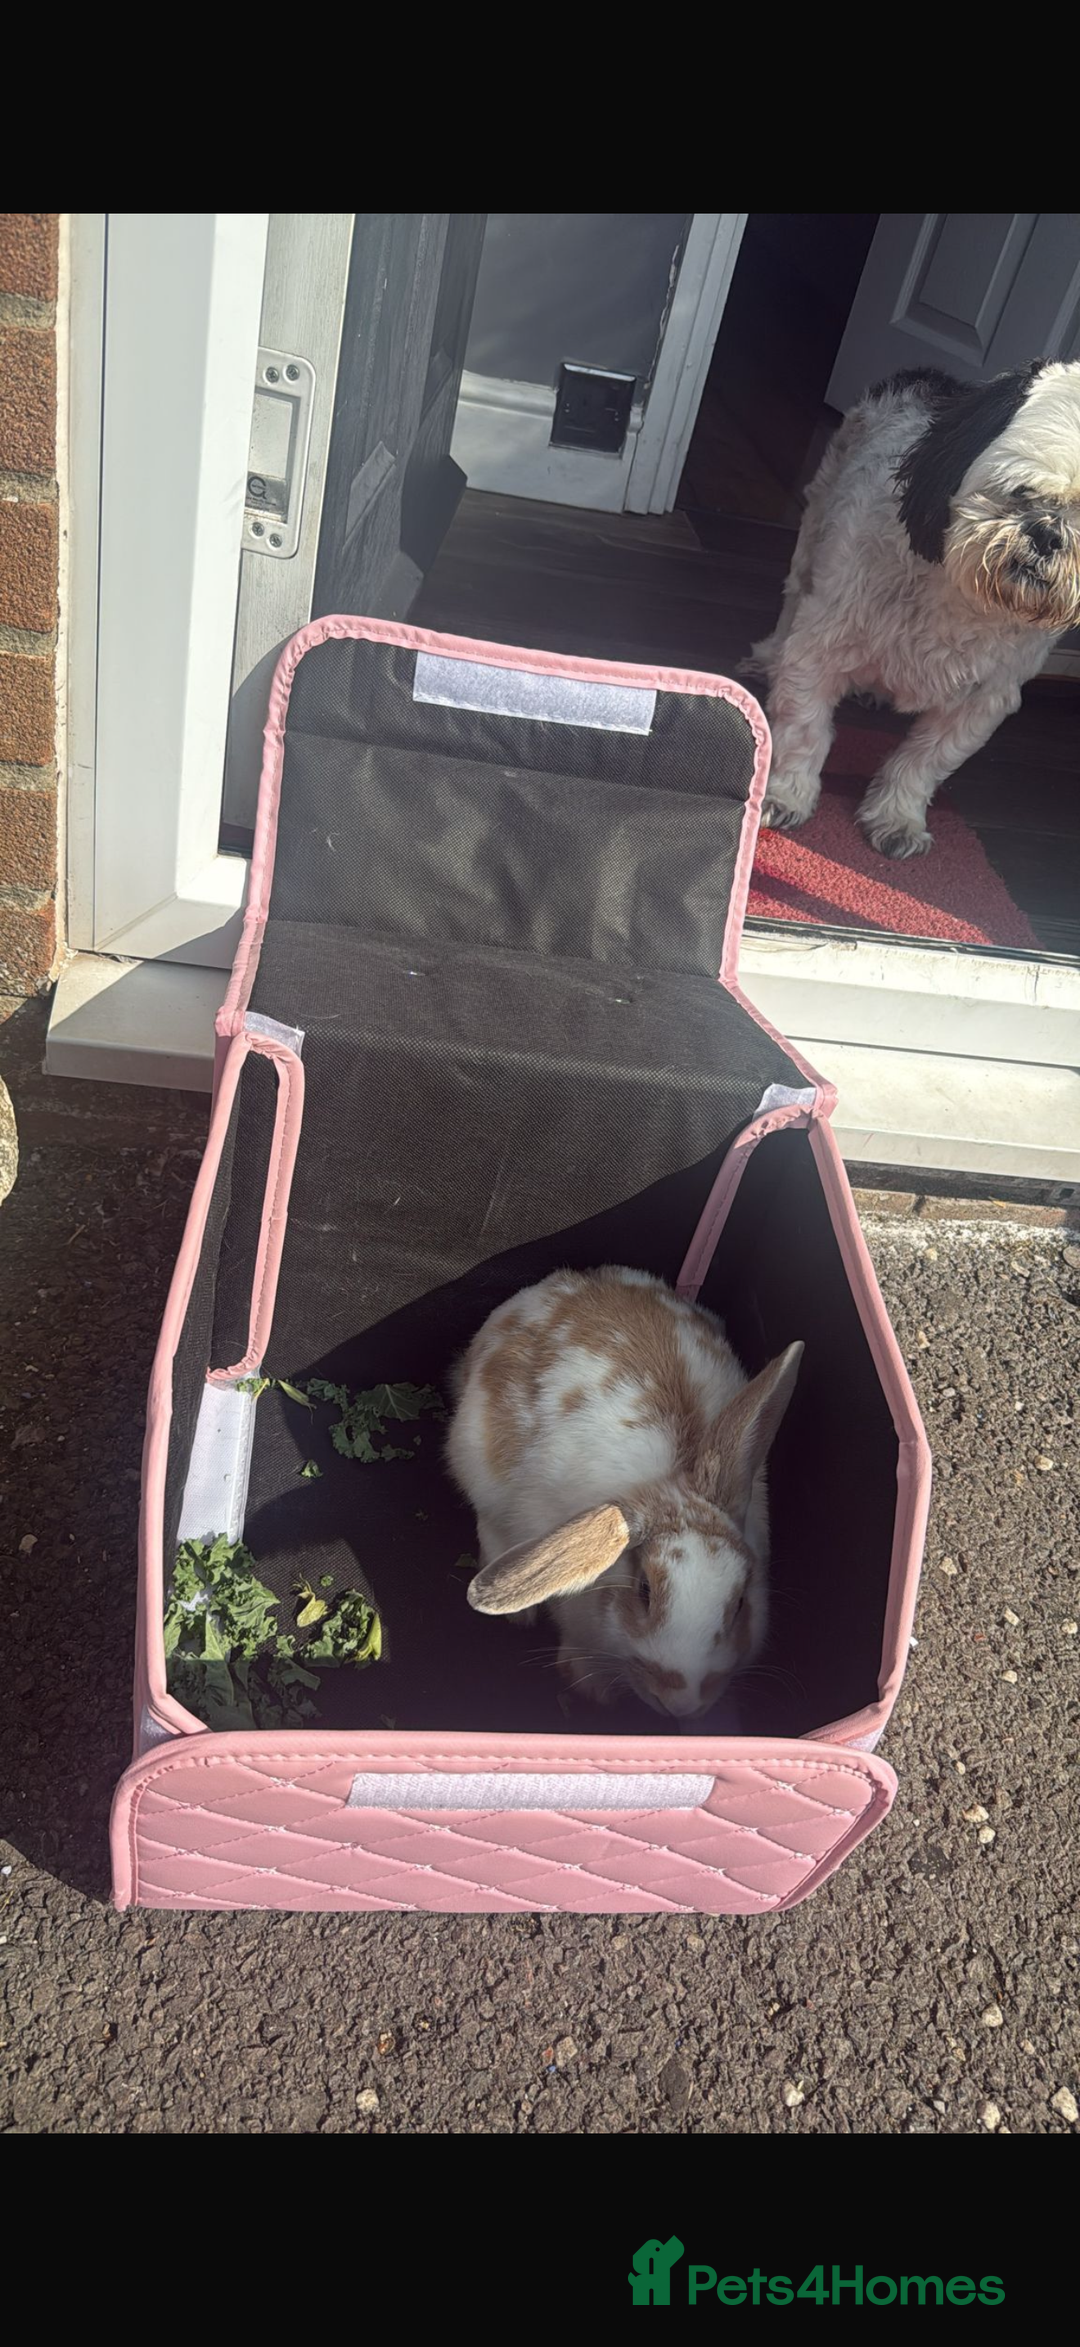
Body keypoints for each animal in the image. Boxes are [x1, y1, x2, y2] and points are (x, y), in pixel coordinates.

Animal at [445, 1265, 803, 1722]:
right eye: (644, 1591)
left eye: (740, 1603)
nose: (682, 1702)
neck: (664, 1482)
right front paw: (587, 1684)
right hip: (472, 1458)